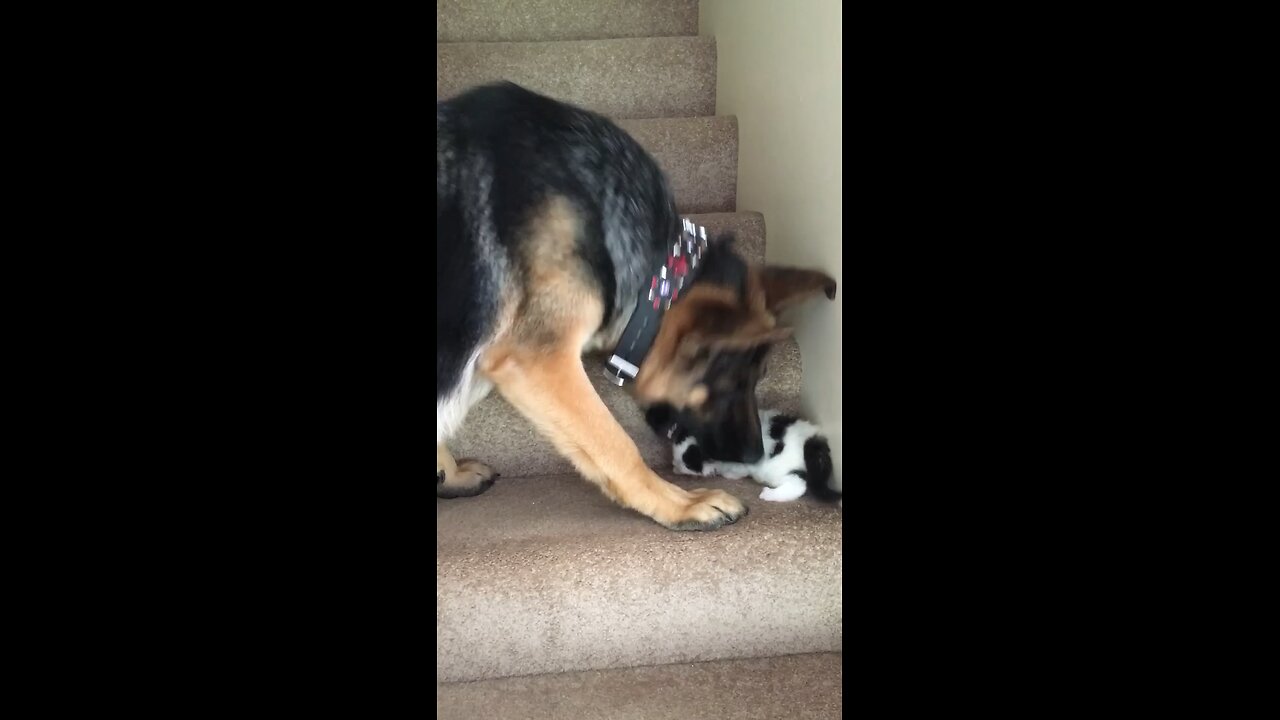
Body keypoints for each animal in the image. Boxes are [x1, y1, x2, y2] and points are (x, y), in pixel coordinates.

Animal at [440, 82, 839, 527]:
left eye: (759, 378)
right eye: (731, 383)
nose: (757, 455)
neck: (659, 274)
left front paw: (449, 475)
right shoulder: (537, 361)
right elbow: (615, 444)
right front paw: (682, 503)